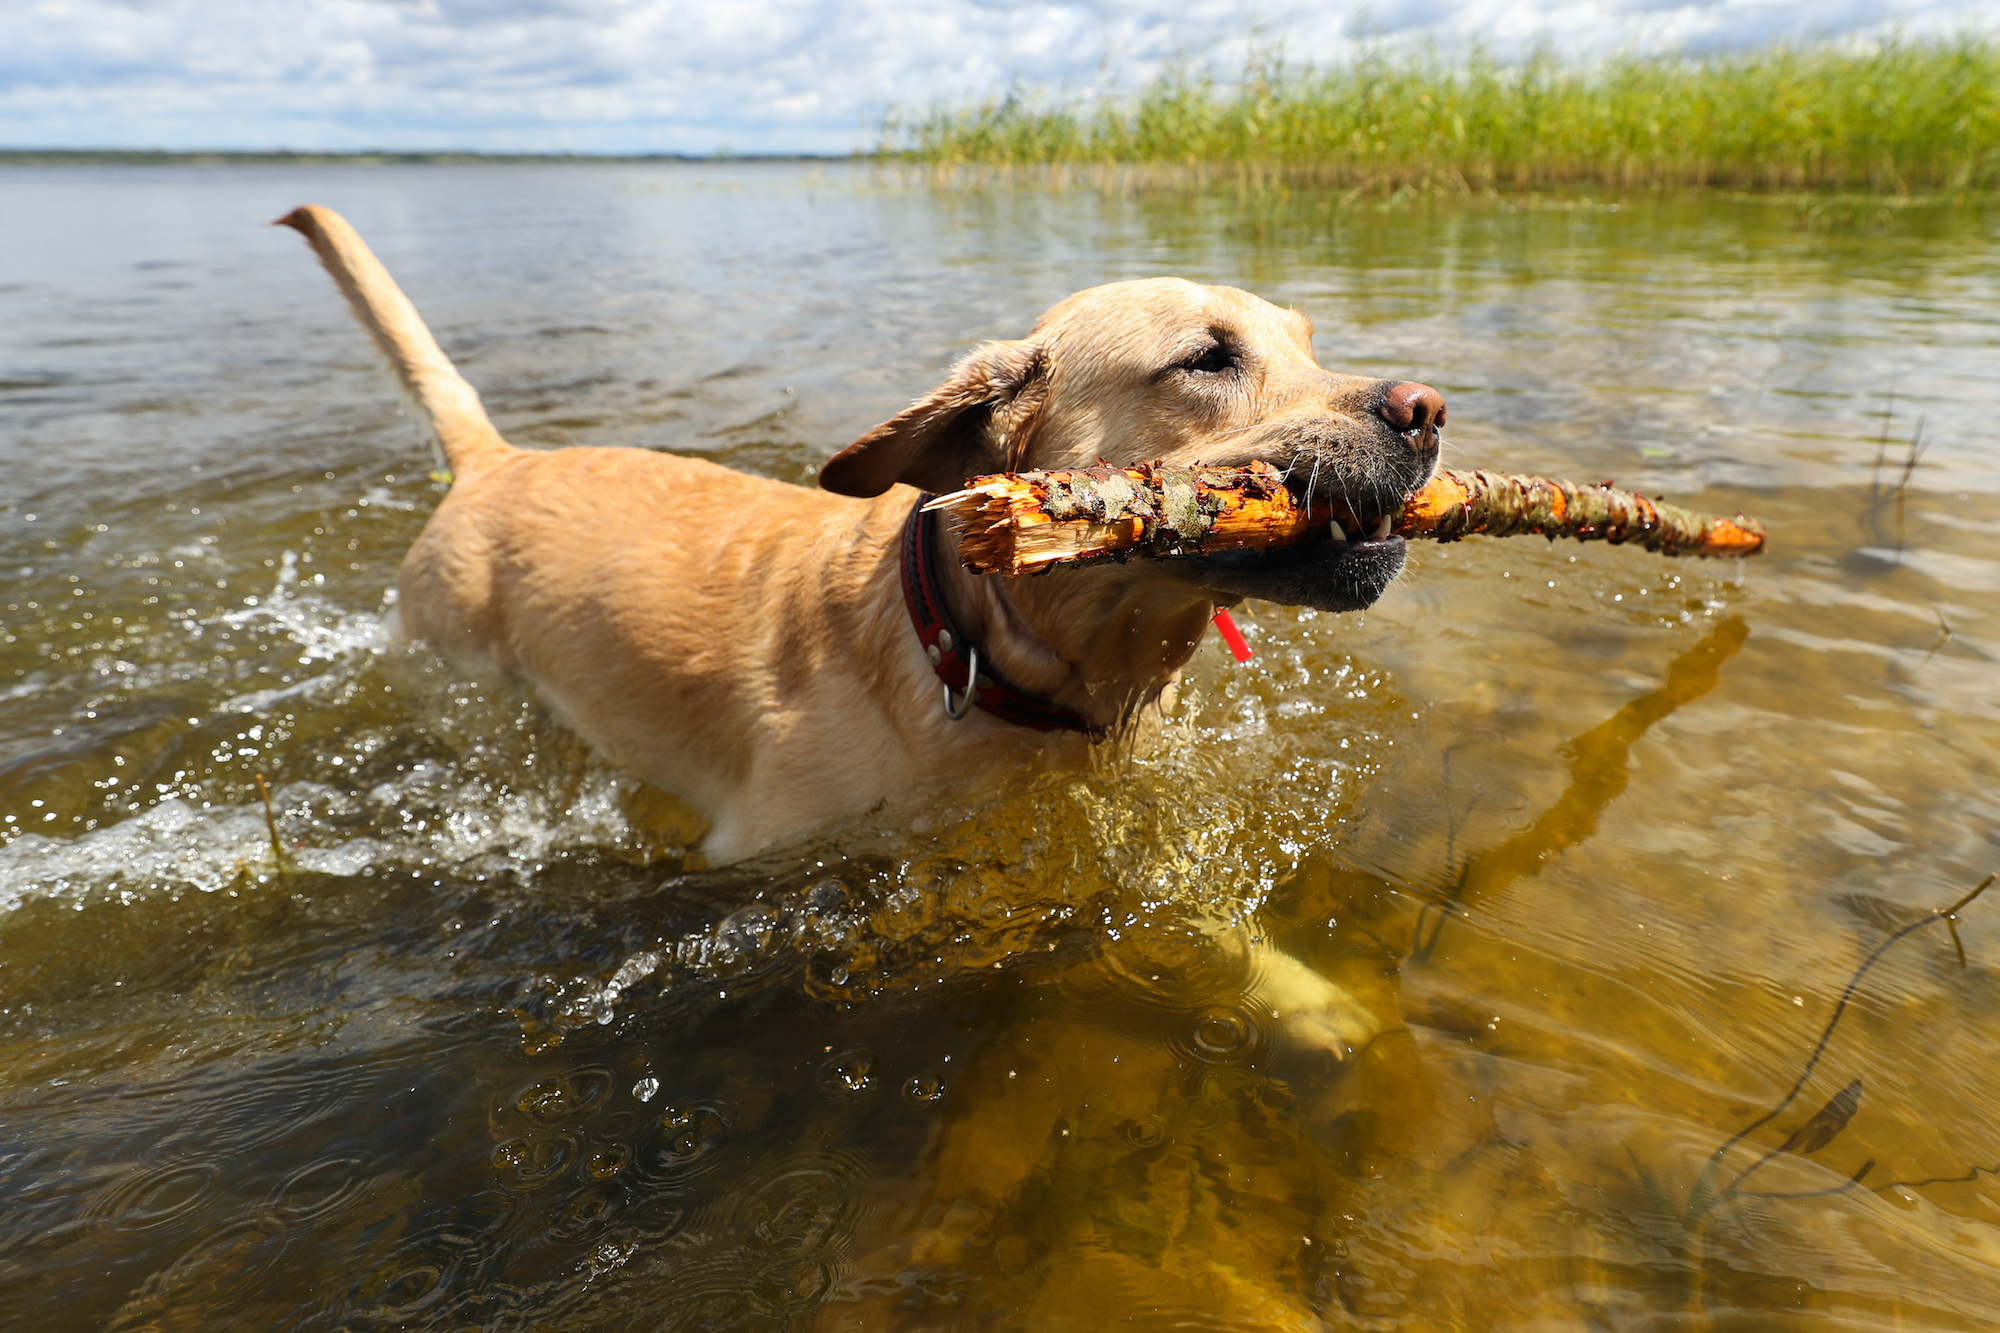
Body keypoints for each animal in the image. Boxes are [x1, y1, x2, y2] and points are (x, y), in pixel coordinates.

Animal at [278, 205, 1440, 1048]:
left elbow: (1200, 917)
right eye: (1206, 358)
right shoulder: (764, 849)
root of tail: (493, 459)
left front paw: (1308, 998)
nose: (1428, 410)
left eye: (1308, 342)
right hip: (465, 689)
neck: (977, 651)